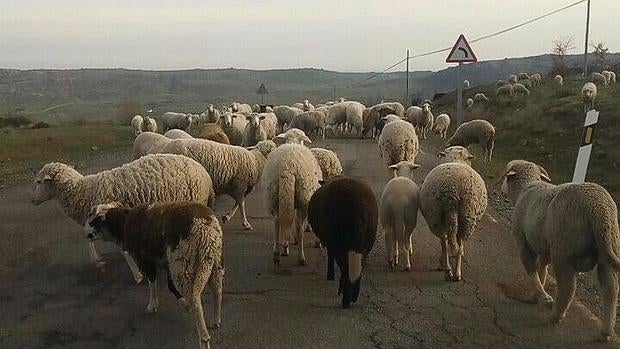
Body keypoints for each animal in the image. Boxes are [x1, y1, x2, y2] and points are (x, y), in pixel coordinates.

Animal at [31, 155, 216, 282]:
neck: (84, 191)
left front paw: (137, 275)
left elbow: (123, 250)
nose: (32, 201)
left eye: (39, 181)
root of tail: (204, 172)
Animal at [85, 200, 224, 348]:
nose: (87, 235)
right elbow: (170, 285)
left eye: (94, 221)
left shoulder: (147, 260)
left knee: (195, 299)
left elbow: (152, 281)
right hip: (214, 261)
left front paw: (153, 305)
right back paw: (216, 321)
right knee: (217, 290)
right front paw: (182, 302)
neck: (123, 224)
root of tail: (204, 227)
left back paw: (204, 338)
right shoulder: (167, 263)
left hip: (182, 264)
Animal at [308, 177, 378, 308]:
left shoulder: (330, 243)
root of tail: (356, 205)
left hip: (338, 242)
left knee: (345, 268)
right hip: (367, 242)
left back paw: (346, 299)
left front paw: (330, 275)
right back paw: (354, 296)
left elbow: (330, 257)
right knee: (359, 266)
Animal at [502, 160, 620, 340]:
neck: (525, 188)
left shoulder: (523, 242)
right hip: (607, 251)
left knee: (567, 287)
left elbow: (531, 270)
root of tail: (600, 211)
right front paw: (536, 296)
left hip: (563, 250)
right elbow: (542, 270)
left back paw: (556, 315)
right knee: (610, 290)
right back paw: (605, 332)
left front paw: (544, 298)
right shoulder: (544, 249)